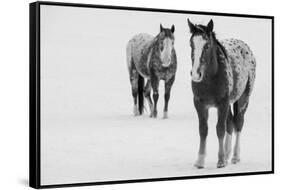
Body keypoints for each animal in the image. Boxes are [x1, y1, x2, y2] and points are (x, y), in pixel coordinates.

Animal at [186, 19, 256, 168]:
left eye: (207, 45)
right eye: (191, 44)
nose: (195, 74)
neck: (211, 78)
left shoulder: (222, 104)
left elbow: (220, 129)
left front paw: (221, 161)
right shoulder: (199, 104)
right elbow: (203, 130)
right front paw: (200, 161)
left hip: (243, 98)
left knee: (238, 123)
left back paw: (235, 156)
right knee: (230, 123)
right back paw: (228, 153)